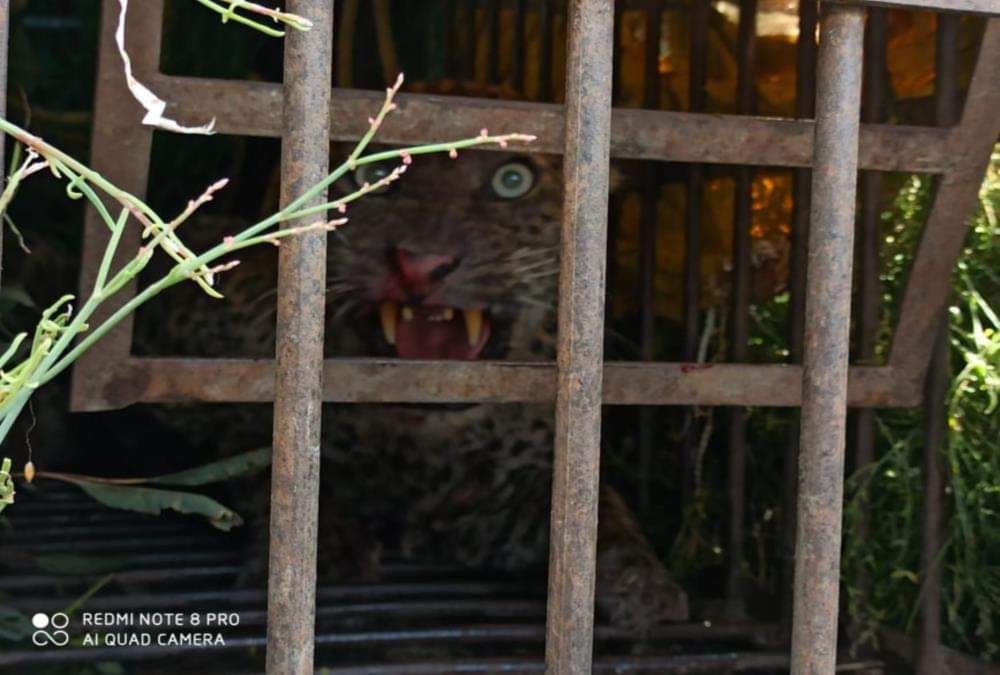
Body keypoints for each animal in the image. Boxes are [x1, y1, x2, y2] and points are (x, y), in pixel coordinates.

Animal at [135, 145, 690, 635]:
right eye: (371, 175)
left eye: (513, 180)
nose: (422, 265)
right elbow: (264, 458)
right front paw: (323, 553)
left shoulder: (498, 501)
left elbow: (594, 510)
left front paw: (643, 585)